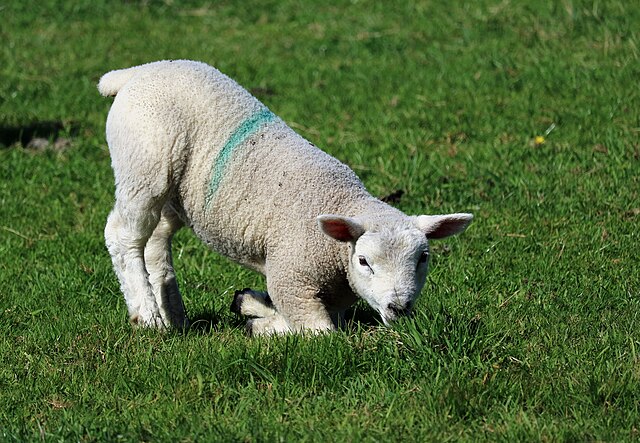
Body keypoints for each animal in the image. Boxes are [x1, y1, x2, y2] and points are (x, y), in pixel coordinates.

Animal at [98, 60, 473, 335]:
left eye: (423, 258)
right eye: (364, 261)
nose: (399, 307)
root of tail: (136, 72)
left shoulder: (333, 294)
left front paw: (251, 306)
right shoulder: (291, 274)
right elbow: (319, 331)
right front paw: (262, 324)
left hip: (173, 192)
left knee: (156, 240)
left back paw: (174, 316)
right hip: (145, 162)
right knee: (124, 235)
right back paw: (148, 315)